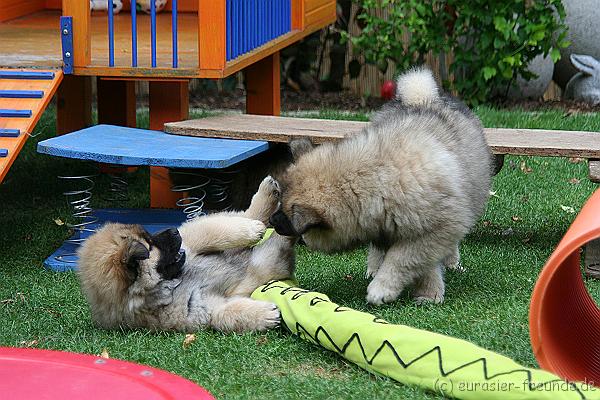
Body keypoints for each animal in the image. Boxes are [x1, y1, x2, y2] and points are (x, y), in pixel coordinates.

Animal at [77, 177, 298, 332]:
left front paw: (252, 230)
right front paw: (266, 315)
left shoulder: (194, 240)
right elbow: (228, 313)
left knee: (241, 216)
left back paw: (267, 198)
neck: (175, 281)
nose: (175, 231)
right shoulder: (202, 308)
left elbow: (219, 231)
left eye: (149, 235)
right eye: (150, 245)